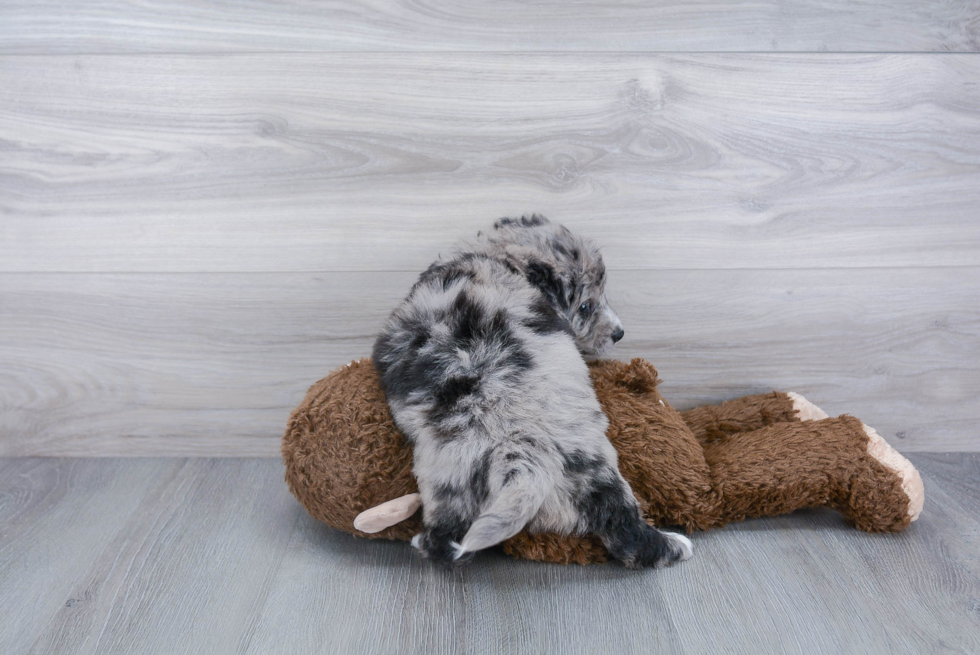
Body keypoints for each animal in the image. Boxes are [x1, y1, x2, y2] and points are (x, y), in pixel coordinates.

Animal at [372, 215, 692, 568]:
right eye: (586, 306)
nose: (619, 333)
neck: (500, 259)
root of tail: (522, 453)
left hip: (450, 479)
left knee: (448, 542)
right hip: (590, 470)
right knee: (625, 531)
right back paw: (675, 545)